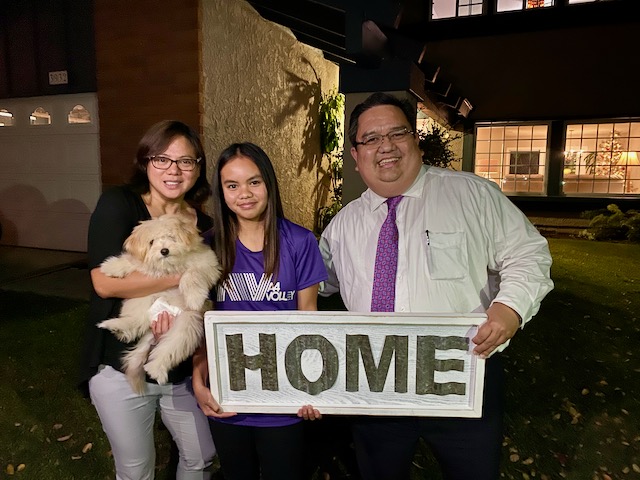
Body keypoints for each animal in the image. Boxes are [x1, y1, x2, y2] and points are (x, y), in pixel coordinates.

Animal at [97, 214, 221, 394]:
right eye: (151, 242)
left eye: (171, 237)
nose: (164, 251)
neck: (169, 267)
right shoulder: (146, 266)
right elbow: (131, 261)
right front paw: (111, 266)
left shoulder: (207, 263)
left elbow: (192, 273)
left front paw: (195, 297)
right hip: (142, 299)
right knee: (135, 321)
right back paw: (118, 327)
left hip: (187, 325)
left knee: (169, 348)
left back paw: (156, 369)